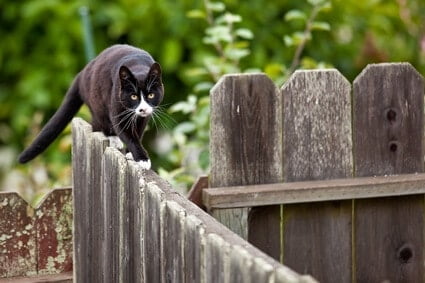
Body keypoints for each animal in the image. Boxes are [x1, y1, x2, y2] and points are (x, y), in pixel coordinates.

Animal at [18, 43, 164, 170]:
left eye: (151, 95)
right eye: (133, 96)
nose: (143, 109)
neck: (138, 66)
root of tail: (82, 73)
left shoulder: (144, 117)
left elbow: (138, 132)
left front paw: (130, 153)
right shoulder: (117, 107)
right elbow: (127, 134)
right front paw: (142, 159)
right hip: (97, 103)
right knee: (99, 123)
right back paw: (113, 138)